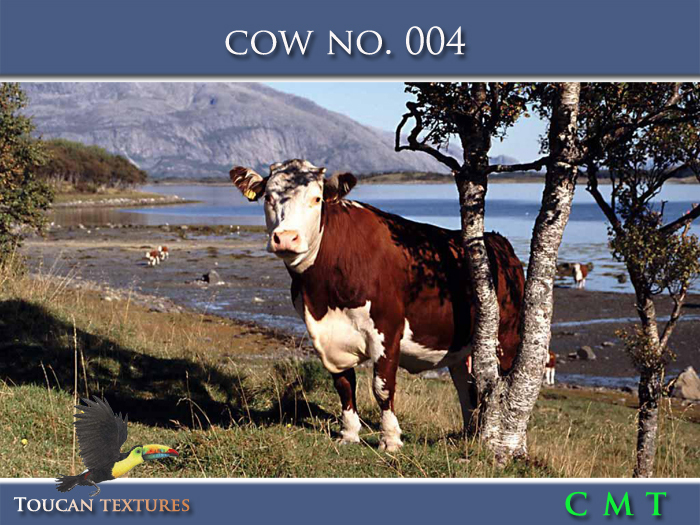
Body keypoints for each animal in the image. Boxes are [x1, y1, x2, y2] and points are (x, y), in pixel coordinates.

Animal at [230, 159, 525, 451]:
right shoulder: (326, 336)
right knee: (465, 387)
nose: (286, 238)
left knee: (505, 387)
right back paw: (468, 436)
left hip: (507, 336)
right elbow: (344, 384)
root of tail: (498, 242)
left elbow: (382, 386)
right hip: (460, 346)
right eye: (268, 197)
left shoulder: (388, 328)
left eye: (316, 198)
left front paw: (390, 439)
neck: (324, 296)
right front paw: (348, 434)